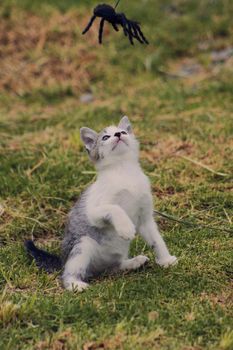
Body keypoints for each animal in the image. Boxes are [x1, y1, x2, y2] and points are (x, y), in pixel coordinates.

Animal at [25, 116, 177, 292]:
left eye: (123, 131)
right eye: (105, 137)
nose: (118, 134)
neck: (124, 171)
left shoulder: (145, 218)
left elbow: (156, 240)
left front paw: (166, 260)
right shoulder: (94, 211)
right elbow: (115, 208)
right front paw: (126, 228)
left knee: (114, 266)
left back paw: (133, 263)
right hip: (83, 244)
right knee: (69, 273)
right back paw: (75, 284)